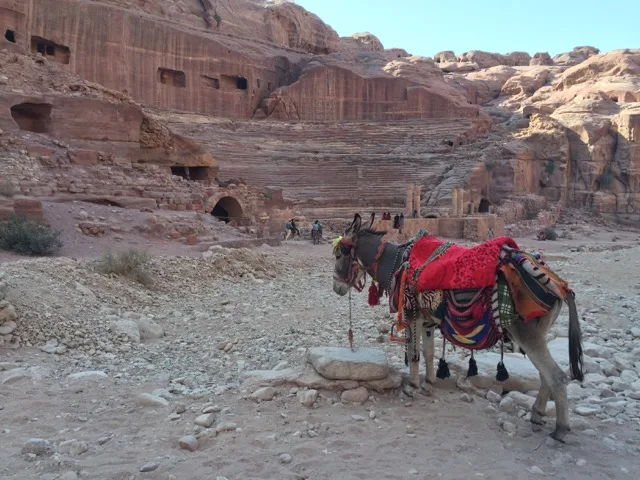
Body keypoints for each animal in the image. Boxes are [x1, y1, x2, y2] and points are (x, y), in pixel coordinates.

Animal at [332, 213, 584, 443]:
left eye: (338, 254)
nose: (337, 289)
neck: (396, 262)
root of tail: (559, 285)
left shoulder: (412, 315)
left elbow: (414, 354)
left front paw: (412, 386)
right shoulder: (427, 320)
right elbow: (429, 353)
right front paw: (429, 384)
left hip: (527, 334)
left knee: (557, 376)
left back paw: (560, 429)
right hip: (537, 335)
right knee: (544, 375)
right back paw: (537, 414)